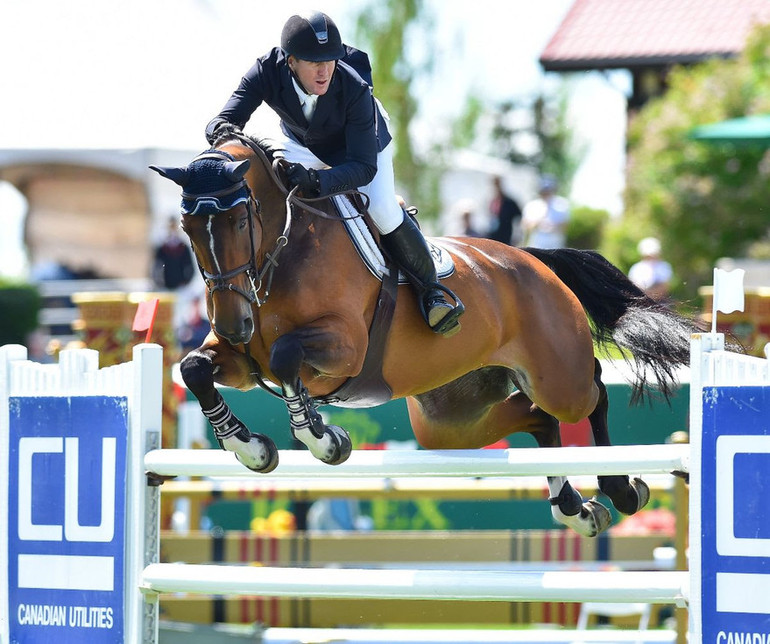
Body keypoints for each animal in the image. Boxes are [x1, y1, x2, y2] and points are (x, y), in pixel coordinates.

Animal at [148, 132, 696, 540]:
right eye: (187, 228)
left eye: (241, 220)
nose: (232, 324)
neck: (280, 256)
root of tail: (535, 259)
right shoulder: (242, 362)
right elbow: (194, 368)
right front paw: (250, 449)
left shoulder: (344, 348)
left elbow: (286, 358)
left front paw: (325, 440)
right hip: (451, 421)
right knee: (537, 418)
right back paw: (575, 508)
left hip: (556, 376)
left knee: (593, 391)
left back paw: (621, 489)